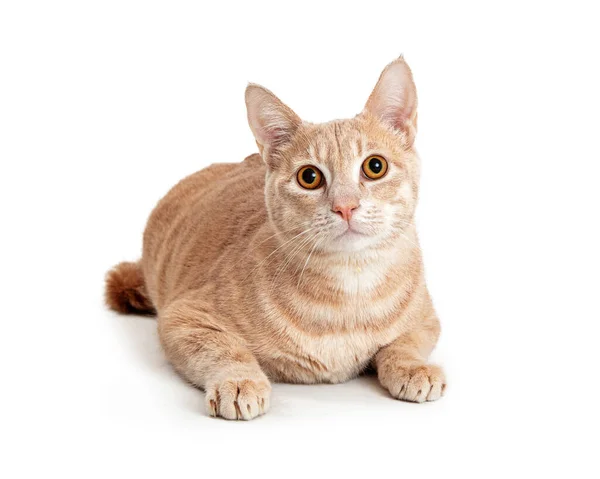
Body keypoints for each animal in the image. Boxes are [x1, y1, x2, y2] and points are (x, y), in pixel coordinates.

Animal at [106, 57, 446, 420]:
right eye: (309, 177)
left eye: (375, 166)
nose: (345, 206)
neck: (349, 290)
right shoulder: (184, 318)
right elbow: (225, 351)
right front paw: (239, 380)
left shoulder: (426, 320)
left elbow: (404, 344)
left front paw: (412, 367)